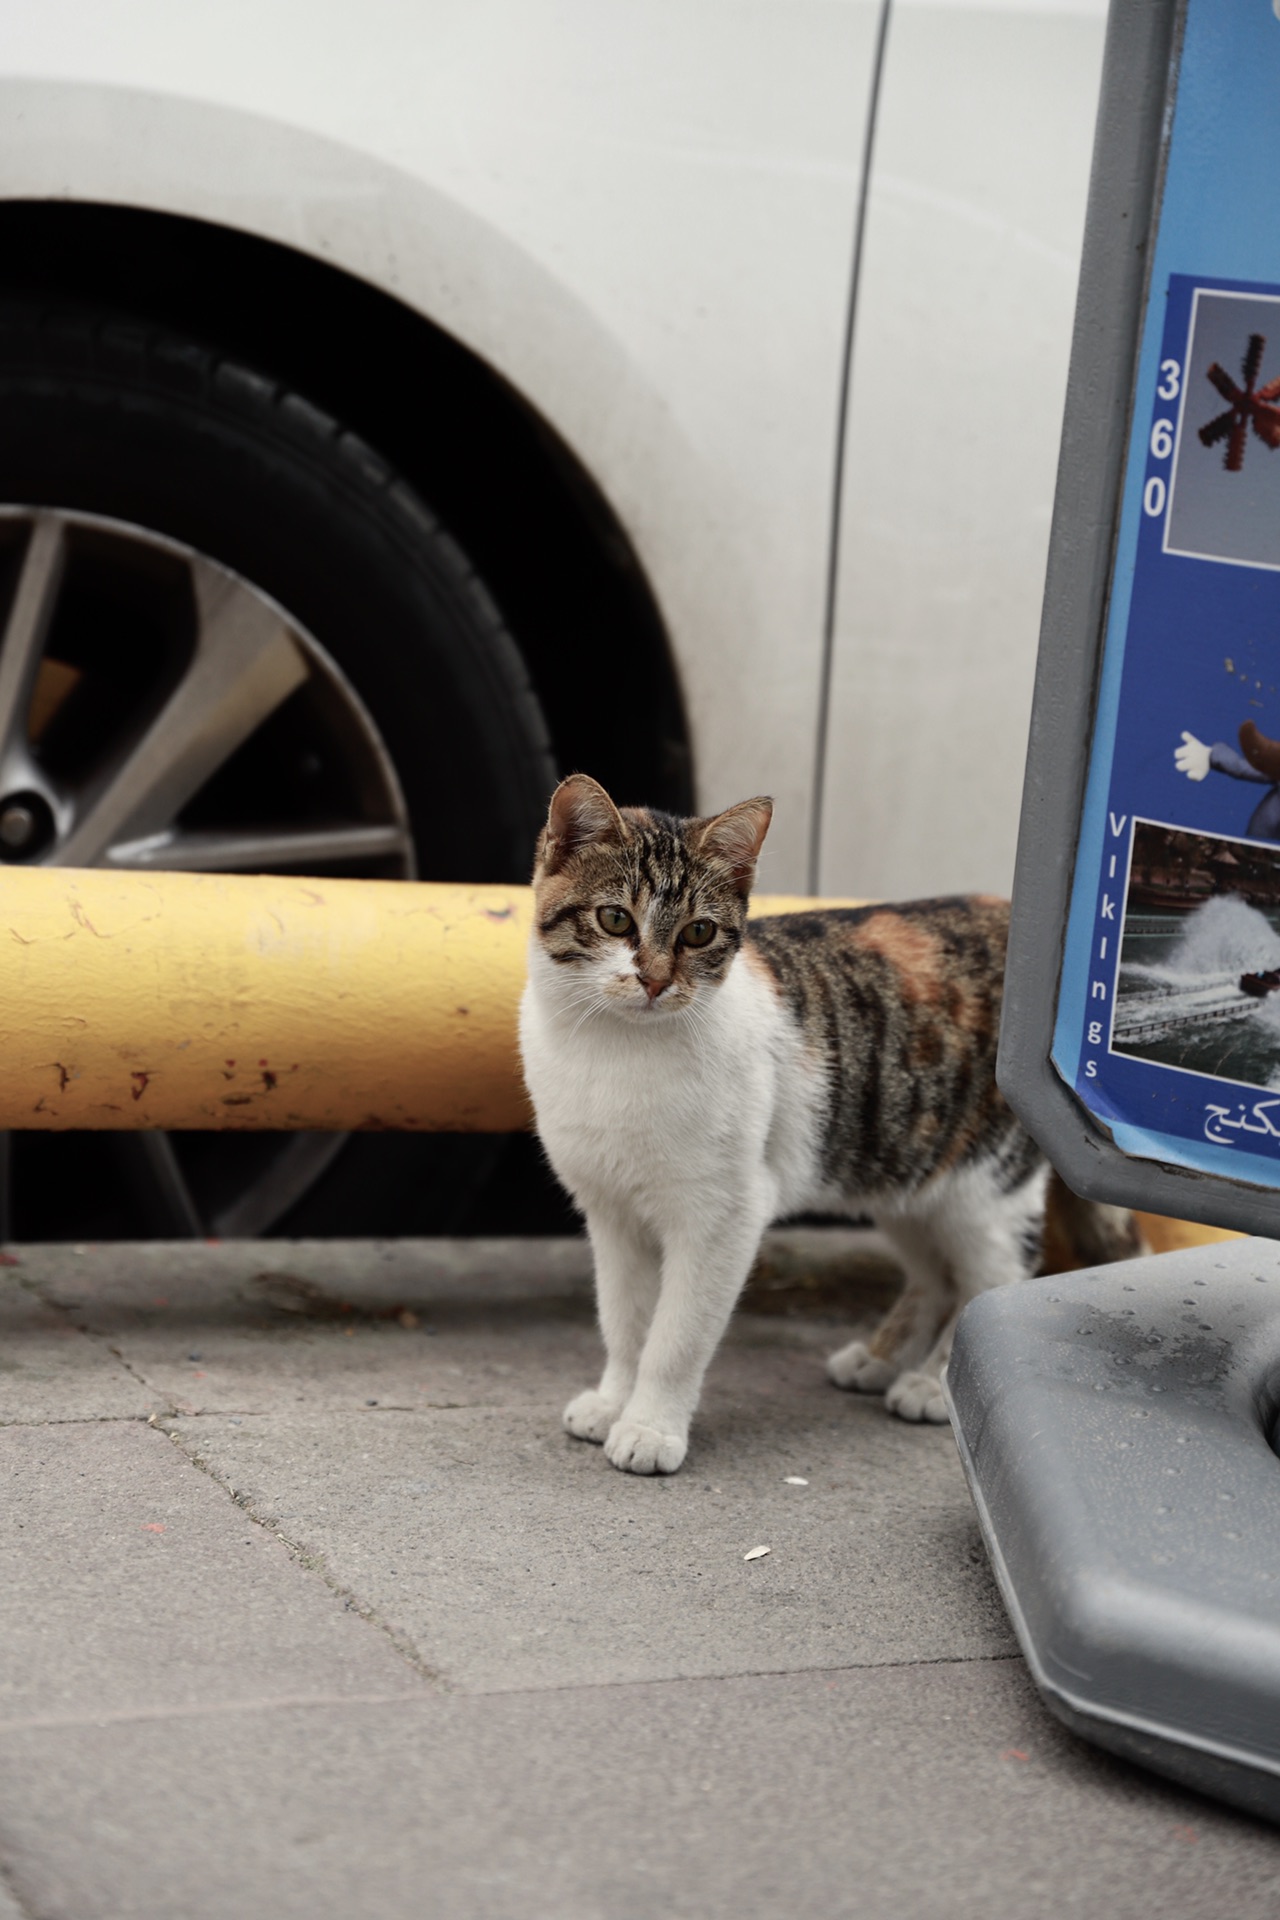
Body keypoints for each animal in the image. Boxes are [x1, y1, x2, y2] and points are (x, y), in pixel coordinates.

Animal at [521, 771, 1143, 1474]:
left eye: (699, 933)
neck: (615, 1052)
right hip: (902, 1169)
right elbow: (624, 1324)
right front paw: (612, 1402)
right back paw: (879, 1358)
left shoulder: (722, 1217)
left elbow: (674, 1338)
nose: (654, 981)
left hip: (983, 1187)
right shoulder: (612, 1215)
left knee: (993, 1276)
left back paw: (935, 1382)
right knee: (938, 1275)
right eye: (614, 918)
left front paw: (650, 1427)